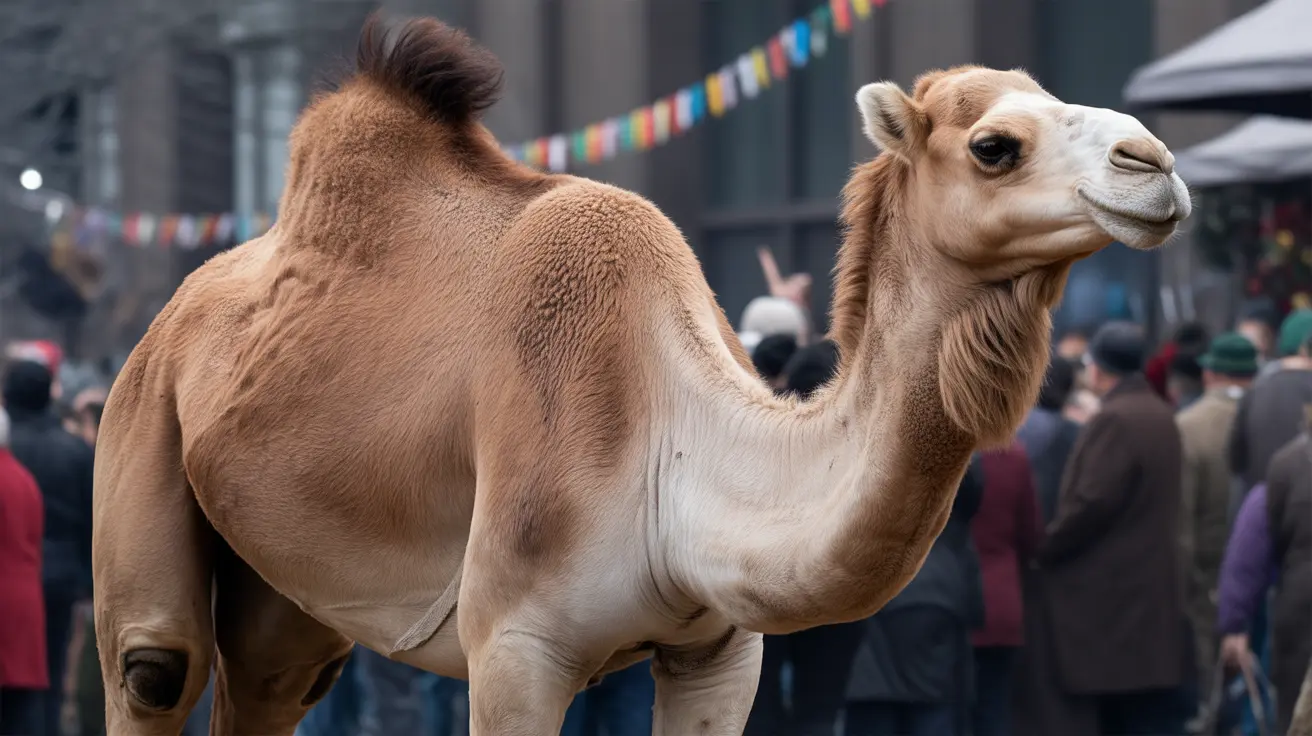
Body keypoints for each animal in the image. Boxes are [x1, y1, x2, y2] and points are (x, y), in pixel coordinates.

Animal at [91, 14, 1191, 736]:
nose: (1156, 163)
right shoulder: (512, 650)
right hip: (141, 440)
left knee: (270, 682)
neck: (676, 446)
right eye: (995, 145)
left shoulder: (719, 653)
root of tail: (170, 318)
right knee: (156, 664)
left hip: (290, 595)